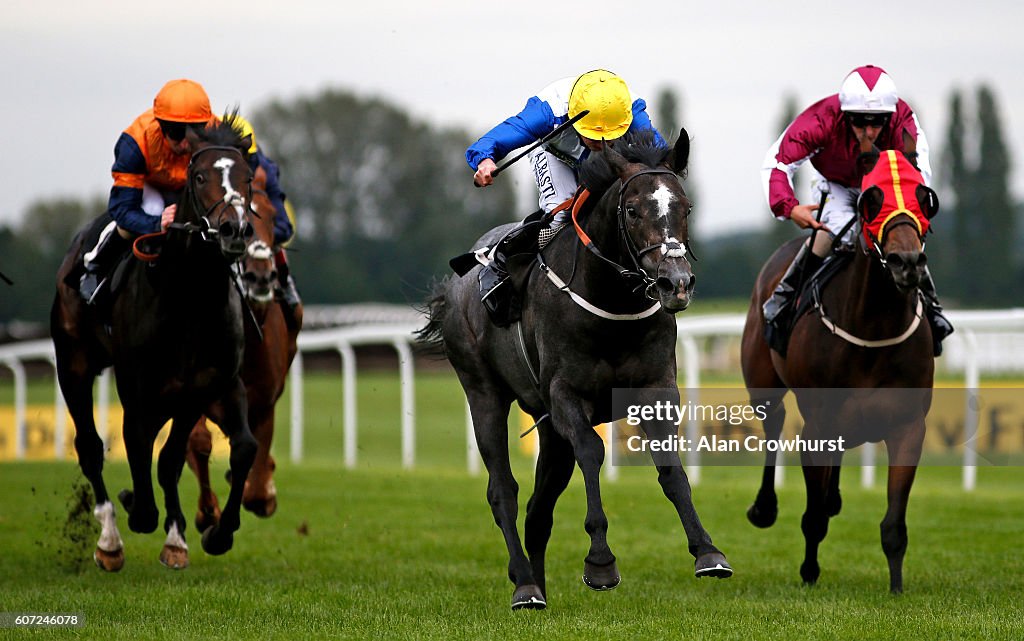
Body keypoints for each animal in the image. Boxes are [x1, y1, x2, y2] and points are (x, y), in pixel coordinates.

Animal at [51, 117, 260, 573]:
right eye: (199, 178)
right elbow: (138, 452)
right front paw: (135, 508)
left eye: (248, 179)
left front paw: (208, 534)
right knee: (90, 448)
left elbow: (221, 452)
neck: (189, 300)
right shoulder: (138, 390)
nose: (234, 229)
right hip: (73, 363)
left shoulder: (207, 386)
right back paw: (110, 540)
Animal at [186, 161, 301, 532]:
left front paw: (263, 490)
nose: (260, 276)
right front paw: (207, 513)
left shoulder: (264, 402)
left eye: (272, 215)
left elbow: (257, 483)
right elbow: (198, 441)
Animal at [419, 130, 733, 610]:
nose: (675, 283)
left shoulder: (656, 388)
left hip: (547, 427)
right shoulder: (567, 394)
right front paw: (600, 562)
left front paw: (707, 551)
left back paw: (539, 586)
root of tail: (453, 288)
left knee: (539, 508)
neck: (612, 305)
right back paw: (525, 586)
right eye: (632, 209)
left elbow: (671, 469)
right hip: (483, 392)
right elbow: (592, 450)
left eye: (686, 207)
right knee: (503, 492)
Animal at [741, 148, 937, 589]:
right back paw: (764, 507)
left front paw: (896, 587)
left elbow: (893, 525)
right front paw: (809, 572)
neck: (872, 326)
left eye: (924, 198)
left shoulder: (908, 427)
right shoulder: (817, 427)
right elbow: (812, 518)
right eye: (872, 201)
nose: (906, 262)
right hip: (763, 382)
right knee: (773, 424)